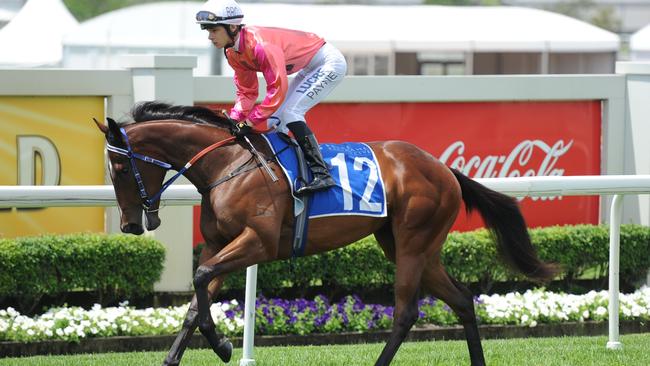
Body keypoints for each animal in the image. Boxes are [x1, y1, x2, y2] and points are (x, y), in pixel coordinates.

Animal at [93, 101, 556, 366]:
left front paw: (223, 346)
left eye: (119, 168)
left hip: (412, 242)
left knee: (406, 311)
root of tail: (444, 168)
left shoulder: (257, 242)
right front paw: (180, 355)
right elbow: (195, 301)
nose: (130, 225)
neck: (226, 165)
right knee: (461, 299)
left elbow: (202, 278)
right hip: (409, 246)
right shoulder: (219, 243)